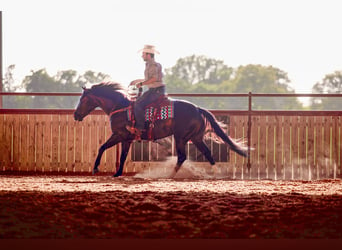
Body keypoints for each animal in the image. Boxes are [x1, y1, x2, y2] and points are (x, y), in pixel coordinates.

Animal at [73, 81, 247, 176]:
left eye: (83, 99)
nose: (75, 115)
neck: (120, 107)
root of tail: (198, 109)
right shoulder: (127, 139)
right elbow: (121, 156)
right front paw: (117, 173)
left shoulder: (119, 135)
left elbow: (102, 147)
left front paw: (96, 169)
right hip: (195, 138)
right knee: (207, 152)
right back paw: (215, 173)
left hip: (181, 138)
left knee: (182, 156)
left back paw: (170, 175)